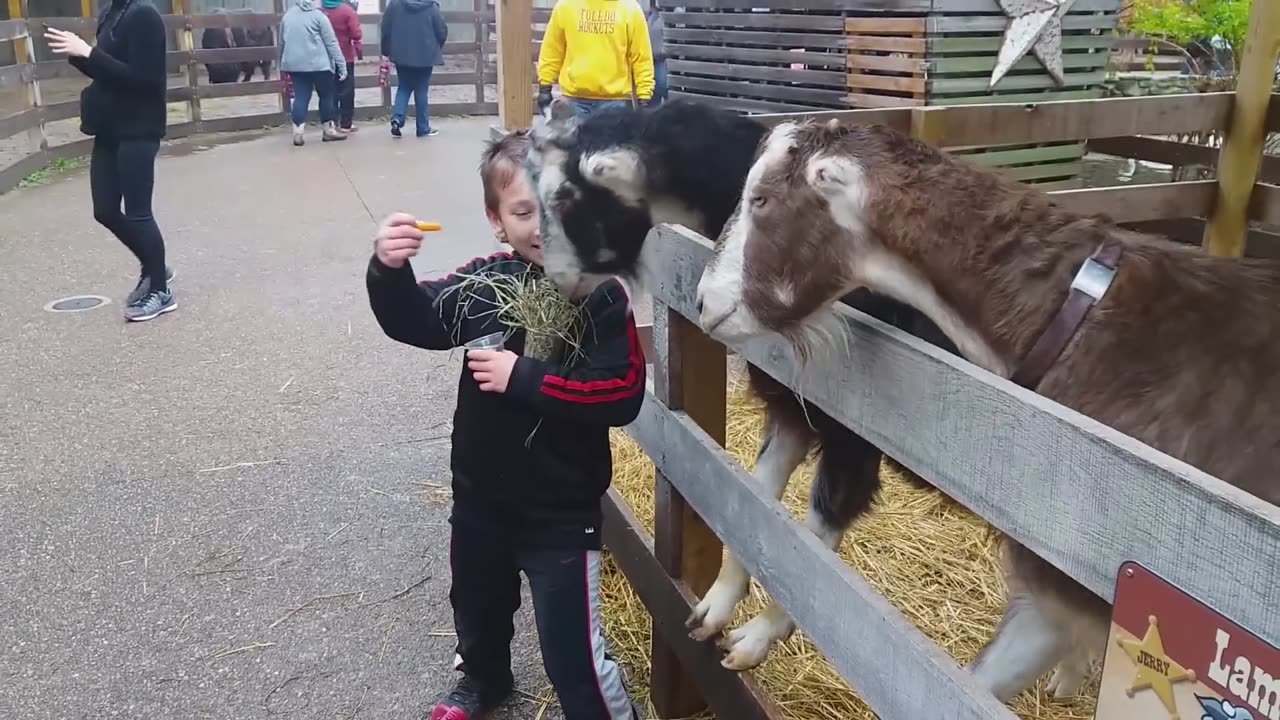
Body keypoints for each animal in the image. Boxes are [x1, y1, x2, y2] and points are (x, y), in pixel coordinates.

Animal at [701, 116, 1280, 696]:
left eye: (761, 199)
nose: (705, 303)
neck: (1074, 319)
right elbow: (752, 499)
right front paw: (718, 611)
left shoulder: (1069, 578)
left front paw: (755, 635)